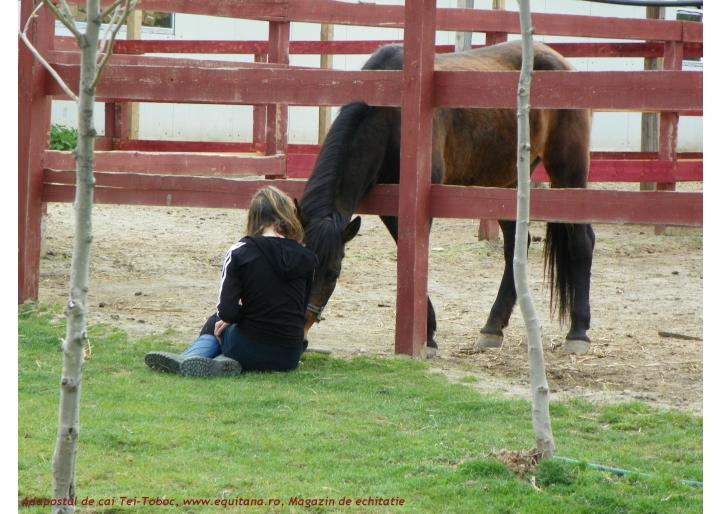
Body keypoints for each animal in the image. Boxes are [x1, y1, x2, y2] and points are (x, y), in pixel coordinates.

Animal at [298, 41, 596, 352]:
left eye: (334, 272)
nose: (301, 338)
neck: (391, 117)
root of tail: (560, 61)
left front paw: (426, 335)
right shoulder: (390, 209)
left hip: (568, 172)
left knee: (581, 242)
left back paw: (577, 332)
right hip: (507, 183)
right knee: (516, 246)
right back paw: (492, 327)